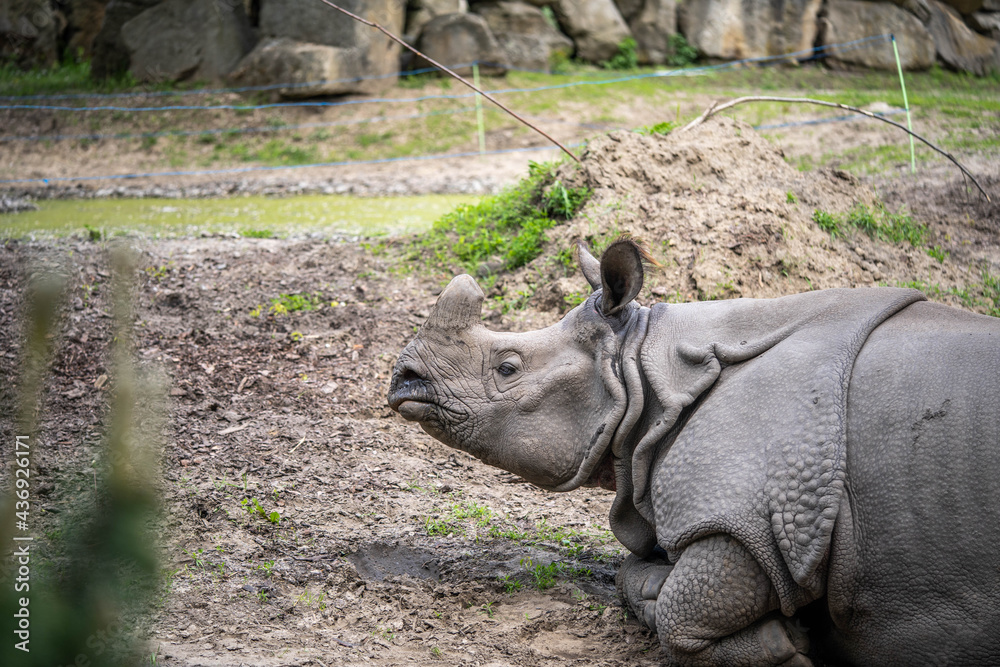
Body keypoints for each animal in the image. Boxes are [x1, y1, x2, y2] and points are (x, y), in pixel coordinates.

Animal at [387, 238, 1000, 666]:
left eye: (508, 368)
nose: (403, 380)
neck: (644, 366)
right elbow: (637, 574)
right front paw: (795, 632)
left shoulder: (753, 511)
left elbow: (684, 616)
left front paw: (788, 649)